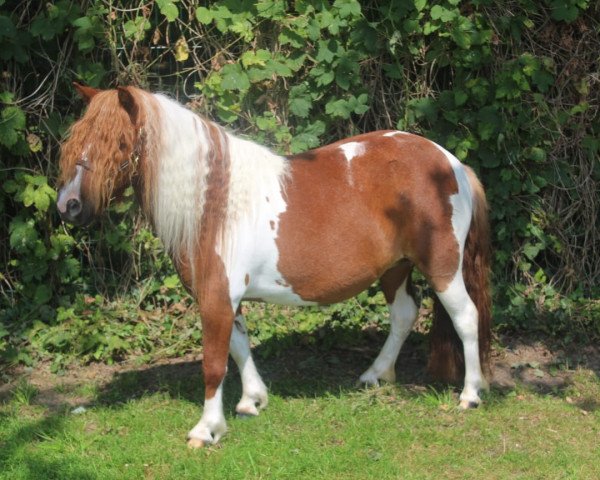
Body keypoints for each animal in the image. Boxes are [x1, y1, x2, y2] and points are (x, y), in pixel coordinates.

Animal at [57, 84, 492, 448]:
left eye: (118, 142)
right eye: (76, 139)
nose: (68, 205)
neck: (214, 204)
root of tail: (452, 164)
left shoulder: (216, 298)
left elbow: (214, 363)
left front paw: (206, 430)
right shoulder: (223, 298)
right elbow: (238, 346)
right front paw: (252, 401)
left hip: (442, 267)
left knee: (466, 318)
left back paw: (470, 395)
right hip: (395, 269)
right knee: (403, 315)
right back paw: (374, 375)